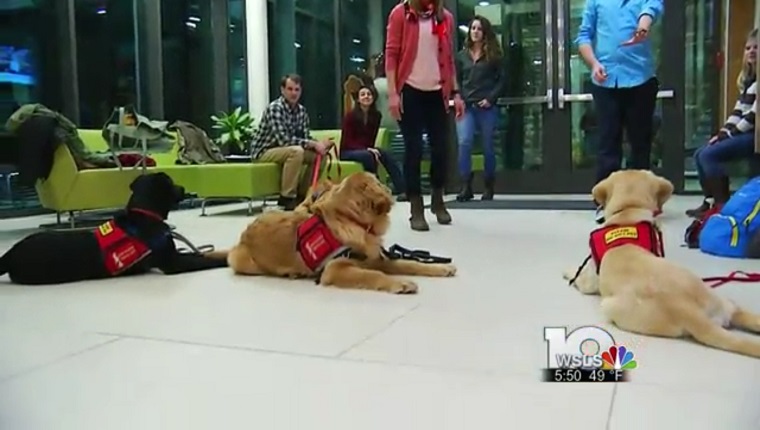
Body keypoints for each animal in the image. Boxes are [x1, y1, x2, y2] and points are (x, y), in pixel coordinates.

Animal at [0, 171, 227, 286]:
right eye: (171, 183)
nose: (185, 188)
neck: (145, 214)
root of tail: (10, 253)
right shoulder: (172, 263)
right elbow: (202, 259)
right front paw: (221, 259)